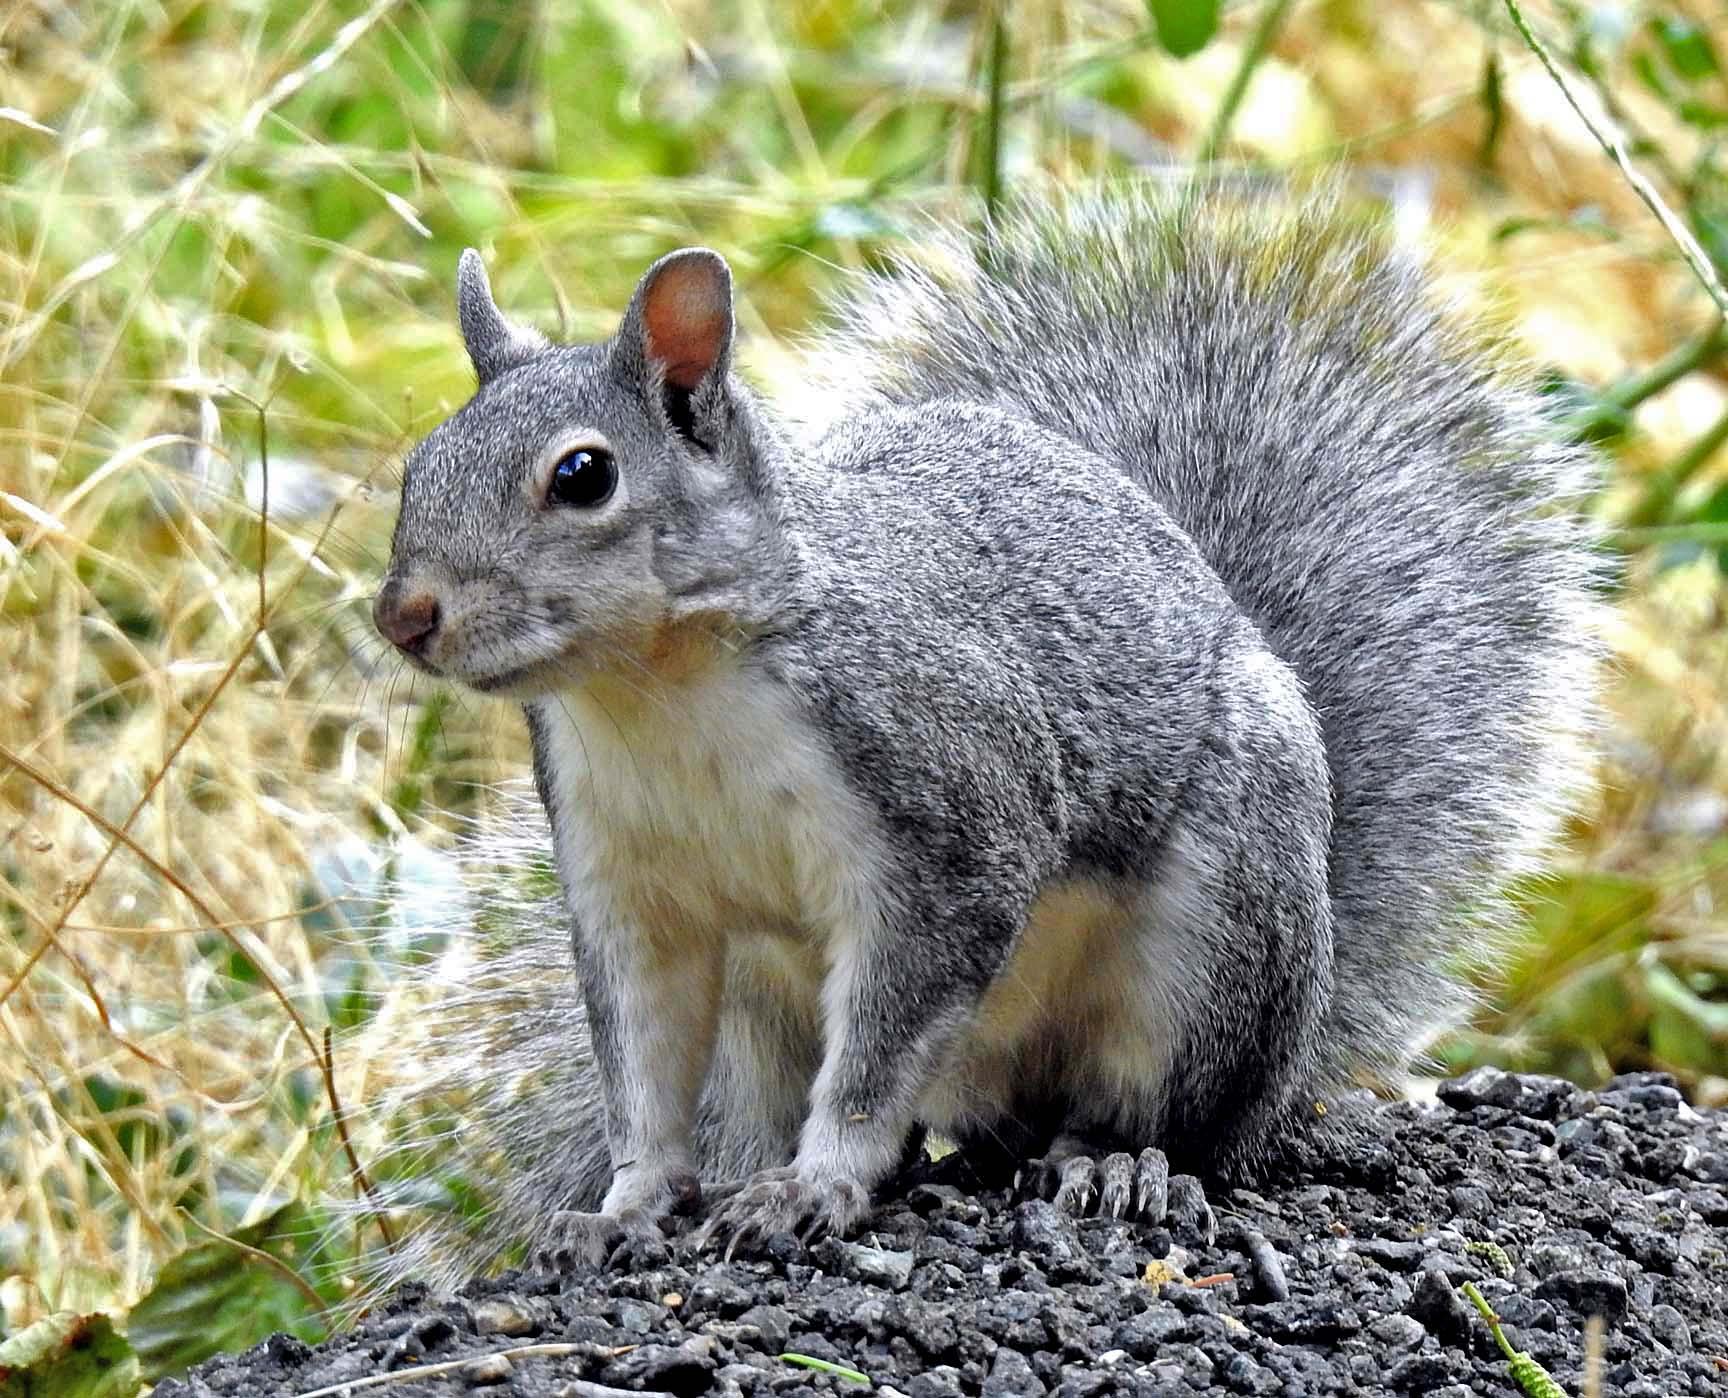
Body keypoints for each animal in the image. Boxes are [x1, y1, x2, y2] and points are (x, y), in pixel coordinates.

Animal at [368, 185, 1600, 1280]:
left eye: (584, 475)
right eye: (418, 462)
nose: (404, 615)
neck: (660, 695)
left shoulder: (949, 821)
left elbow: (883, 1052)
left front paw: (819, 1184)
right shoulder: (629, 888)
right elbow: (643, 1068)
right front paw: (628, 1205)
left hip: (1209, 949)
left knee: (1166, 1119)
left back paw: (1114, 1164)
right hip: (768, 1014)